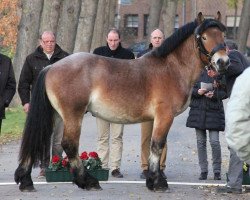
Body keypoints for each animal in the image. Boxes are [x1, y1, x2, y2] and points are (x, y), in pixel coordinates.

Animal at [13, 12, 229, 192]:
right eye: (204, 37)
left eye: (222, 36)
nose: (223, 62)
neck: (171, 68)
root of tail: (51, 67)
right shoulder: (164, 115)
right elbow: (157, 145)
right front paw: (157, 183)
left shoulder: (157, 119)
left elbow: (155, 147)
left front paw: (153, 180)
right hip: (73, 115)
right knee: (70, 145)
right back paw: (88, 181)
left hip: (54, 115)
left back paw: (26, 181)